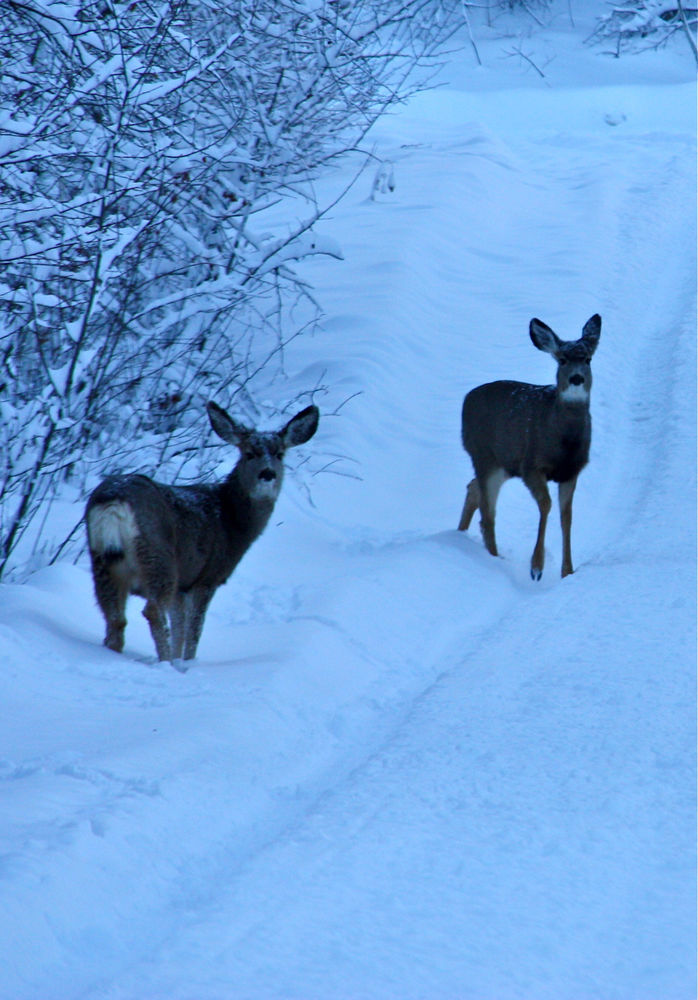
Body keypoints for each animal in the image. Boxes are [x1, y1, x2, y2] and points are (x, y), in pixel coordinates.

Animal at [85, 400, 320, 672]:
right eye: (249, 453)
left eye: (280, 453)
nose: (268, 474)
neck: (231, 520)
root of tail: (113, 502)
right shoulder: (207, 577)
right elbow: (194, 628)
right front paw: (186, 665)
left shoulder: (183, 585)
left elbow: (180, 626)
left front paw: (179, 662)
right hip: (159, 558)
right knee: (151, 611)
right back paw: (164, 664)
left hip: (102, 560)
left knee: (115, 619)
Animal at [456, 312, 600, 580]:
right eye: (562, 360)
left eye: (588, 359)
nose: (577, 378)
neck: (563, 441)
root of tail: (466, 400)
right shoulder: (531, 465)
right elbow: (546, 505)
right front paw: (536, 567)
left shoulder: (571, 471)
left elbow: (567, 516)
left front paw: (567, 571)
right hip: (484, 455)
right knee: (488, 514)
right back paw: (493, 559)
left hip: (503, 464)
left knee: (473, 489)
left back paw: (462, 537)